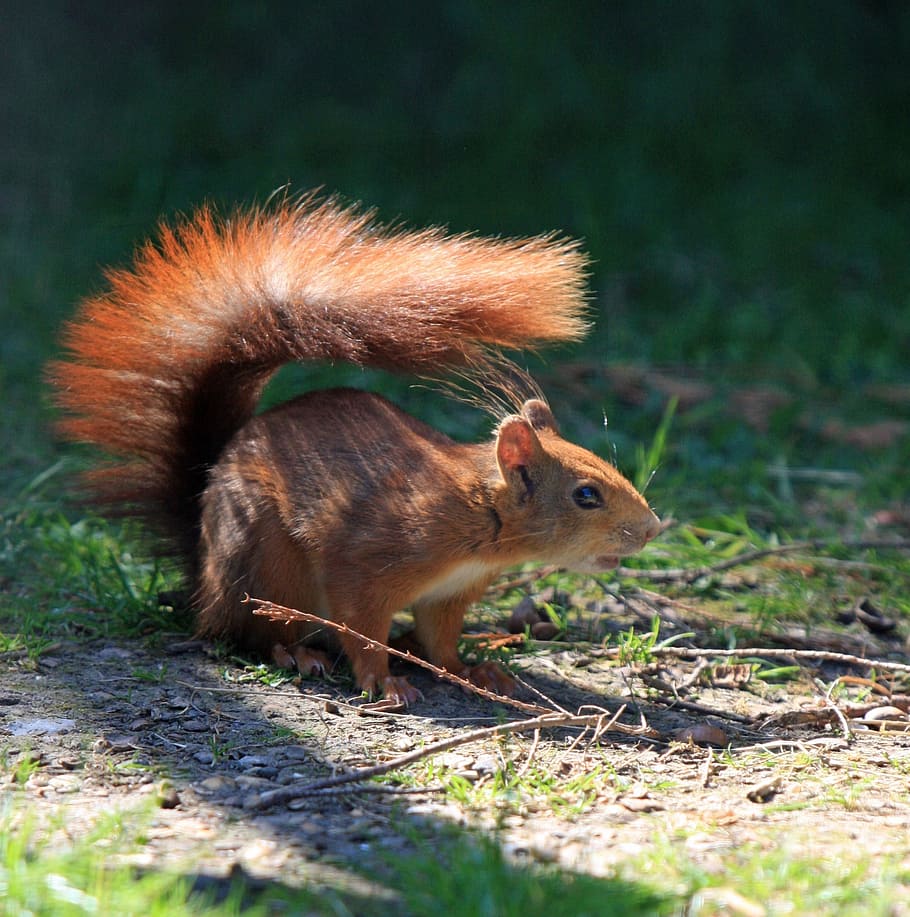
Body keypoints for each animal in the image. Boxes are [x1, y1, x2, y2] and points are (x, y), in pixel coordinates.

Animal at [49, 193, 661, 706]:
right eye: (586, 494)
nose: (654, 530)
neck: (478, 516)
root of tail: (202, 575)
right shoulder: (368, 564)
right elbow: (362, 630)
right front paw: (383, 681)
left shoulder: (448, 595)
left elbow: (440, 639)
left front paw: (467, 669)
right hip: (271, 566)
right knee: (251, 633)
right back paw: (297, 652)